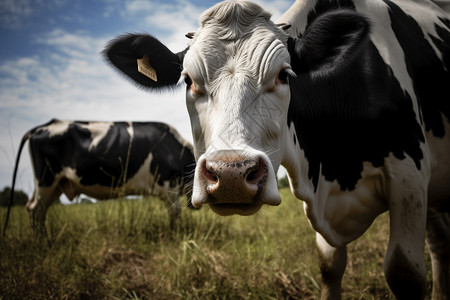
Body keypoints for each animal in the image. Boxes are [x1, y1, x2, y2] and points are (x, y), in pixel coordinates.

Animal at [3, 119, 196, 237]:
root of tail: (46, 125)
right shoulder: (168, 184)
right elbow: (175, 213)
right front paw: (174, 235)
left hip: (55, 185)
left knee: (36, 209)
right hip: (46, 179)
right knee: (36, 209)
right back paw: (42, 242)